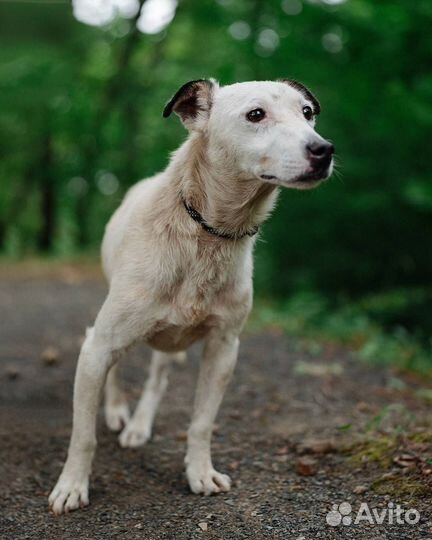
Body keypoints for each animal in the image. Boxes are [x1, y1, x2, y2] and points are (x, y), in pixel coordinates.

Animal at [49, 78, 334, 512]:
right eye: (256, 114)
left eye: (307, 113)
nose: (323, 149)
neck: (206, 234)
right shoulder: (100, 346)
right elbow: (83, 434)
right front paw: (71, 487)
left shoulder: (223, 349)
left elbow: (201, 423)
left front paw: (199, 473)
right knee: (112, 368)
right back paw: (117, 412)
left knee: (157, 378)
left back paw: (138, 426)